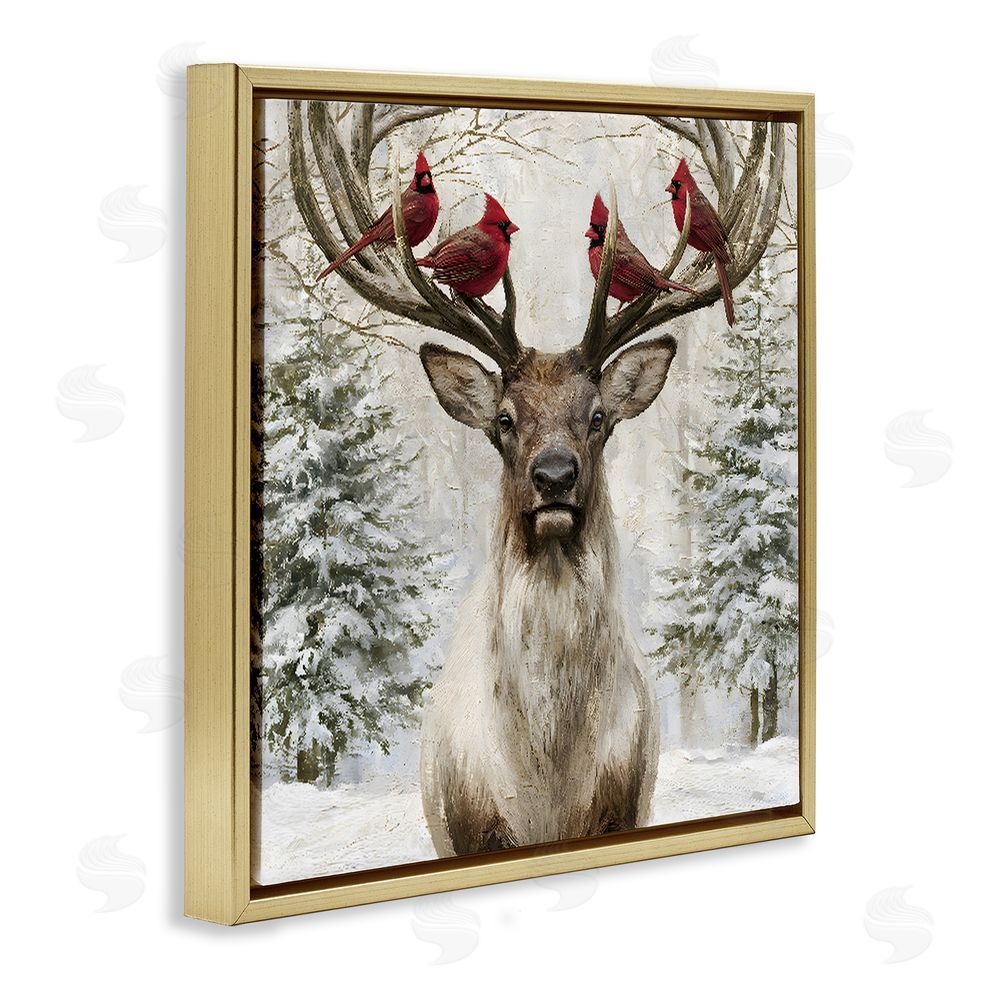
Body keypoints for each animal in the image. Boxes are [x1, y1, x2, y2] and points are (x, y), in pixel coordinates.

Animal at [287, 100, 786, 855]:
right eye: (502, 418)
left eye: (600, 415)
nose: (554, 476)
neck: (547, 780)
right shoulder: (468, 828)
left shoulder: (624, 806)